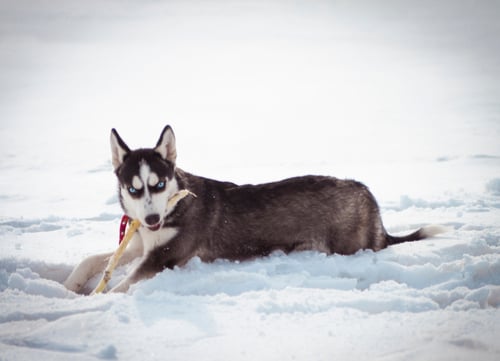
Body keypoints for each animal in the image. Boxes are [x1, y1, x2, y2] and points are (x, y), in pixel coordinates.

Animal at [64, 124, 444, 292]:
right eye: (134, 188)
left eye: (159, 184)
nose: (153, 217)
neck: (173, 206)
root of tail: (366, 192)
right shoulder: (141, 244)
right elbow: (93, 261)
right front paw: (69, 286)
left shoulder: (163, 257)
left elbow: (119, 285)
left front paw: (92, 302)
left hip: (349, 244)